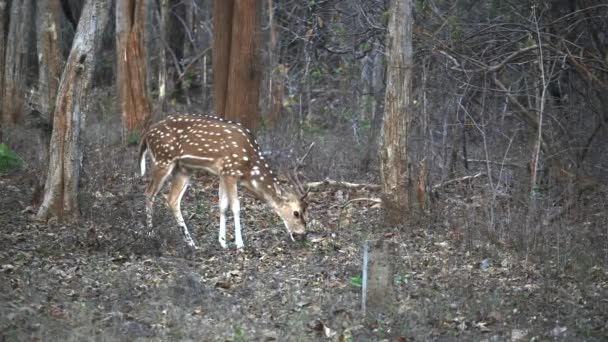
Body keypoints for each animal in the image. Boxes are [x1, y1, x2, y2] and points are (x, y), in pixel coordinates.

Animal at [138, 113, 308, 250]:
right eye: (296, 213)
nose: (302, 234)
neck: (249, 169)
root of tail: (146, 135)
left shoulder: (222, 173)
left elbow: (223, 206)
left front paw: (222, 242)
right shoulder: (230, 171)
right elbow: (235, 207)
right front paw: (239, 244)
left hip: (183, 169)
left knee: (172, 199)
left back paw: (191, 243)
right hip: (163, 159)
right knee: (149, 192)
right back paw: (150, 234)